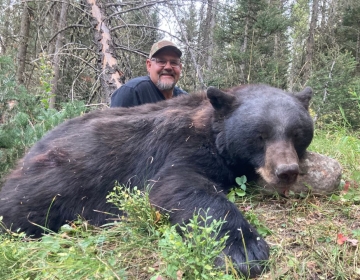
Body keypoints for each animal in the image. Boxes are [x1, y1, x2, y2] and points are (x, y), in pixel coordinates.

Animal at [0, 83, 312, 278]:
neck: (209, 128)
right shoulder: (177, 148)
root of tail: (28, 153)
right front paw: (245, 250)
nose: (287, 170)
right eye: (260, 135)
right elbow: (177, 186)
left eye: (296, 133)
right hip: (57, 176)